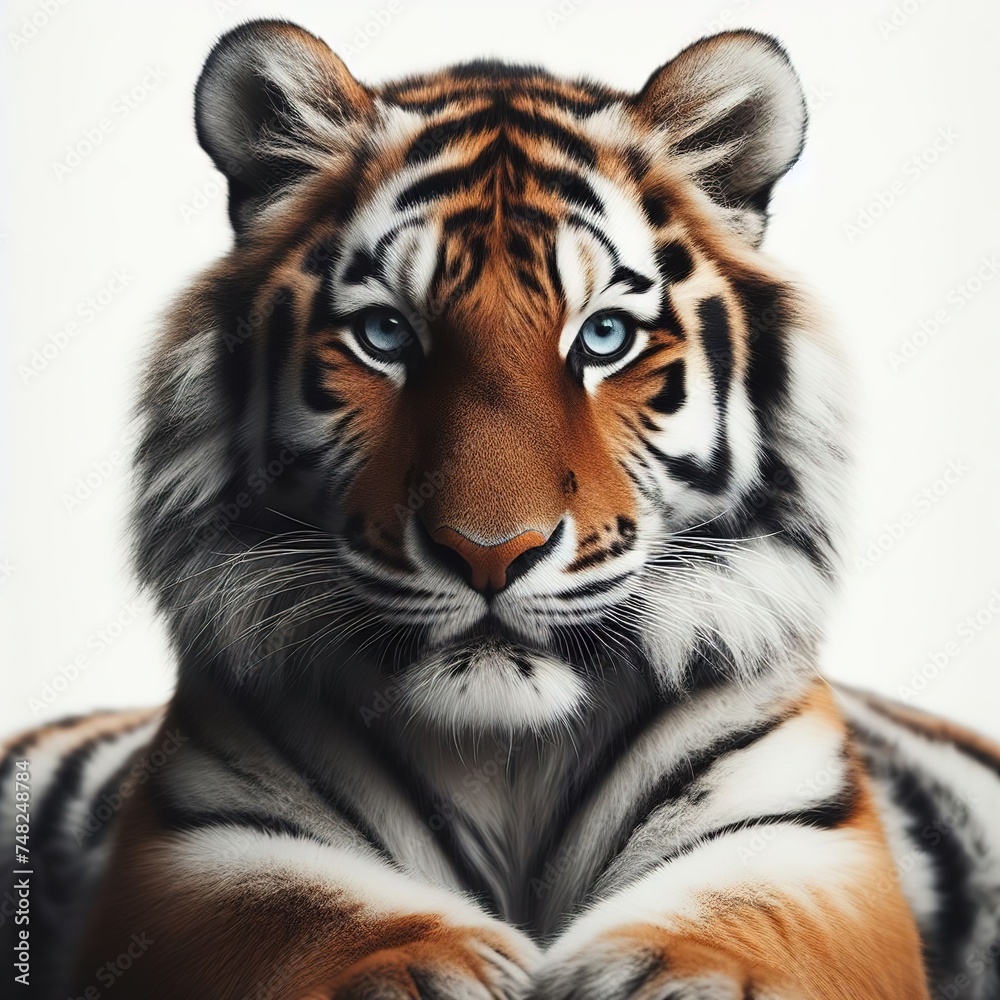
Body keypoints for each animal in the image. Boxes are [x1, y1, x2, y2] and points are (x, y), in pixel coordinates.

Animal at [4, 18, 1000, 999]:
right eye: (386, 334)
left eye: (604, 336)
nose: (489, 553)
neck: (506, 754)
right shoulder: (202, 836)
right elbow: (304, 914)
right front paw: (431, 968)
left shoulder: (802, 835)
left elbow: (740, 927)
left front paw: (659, 977)